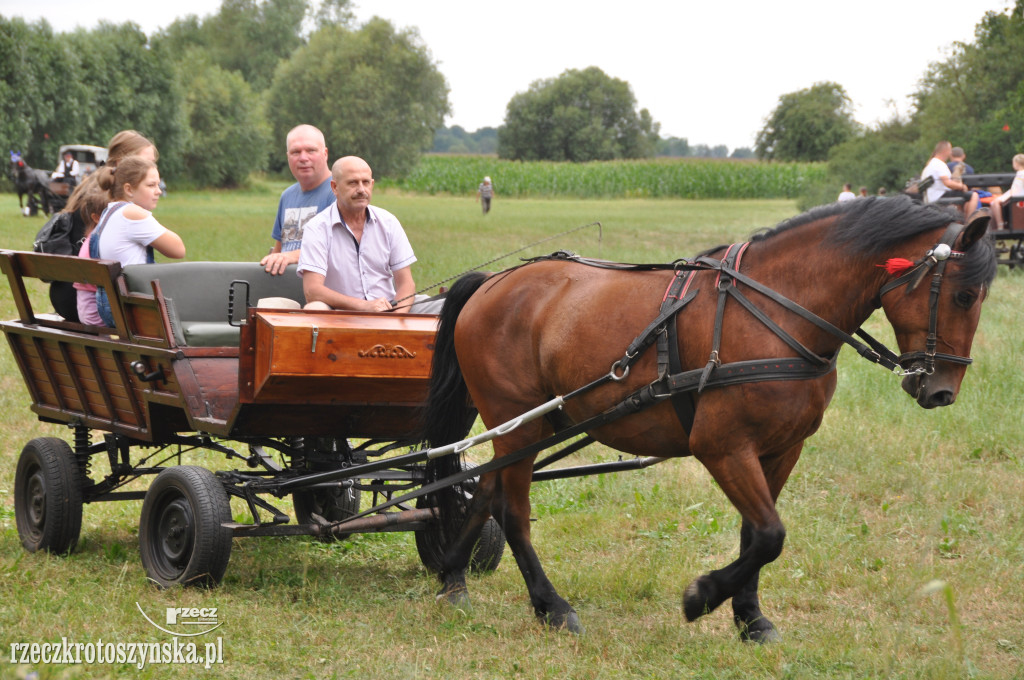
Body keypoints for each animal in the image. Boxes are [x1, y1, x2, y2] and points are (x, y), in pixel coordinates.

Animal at [419, 195, 995, 639]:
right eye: (964, 294)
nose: (942, 391)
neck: (776, 311)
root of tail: (491, 283)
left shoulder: (780, 450)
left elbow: (754, 536)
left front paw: (751, 619)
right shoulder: (723, 447)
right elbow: (770, 535)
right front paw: (703, 596)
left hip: (530, 427)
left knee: (485, 492)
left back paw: (452, 579)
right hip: (518, 421)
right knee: (512, 510)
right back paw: (551, 606)